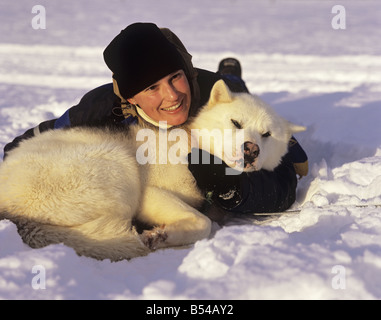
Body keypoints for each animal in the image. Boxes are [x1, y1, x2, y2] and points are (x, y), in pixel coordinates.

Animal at [0, 80, 302, 260]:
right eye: (236, 123)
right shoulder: (149, 194)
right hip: (118, 166)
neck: (194, 146)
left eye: (266, 134)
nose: (251, 149)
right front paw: (163, 235)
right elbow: (203, 223)